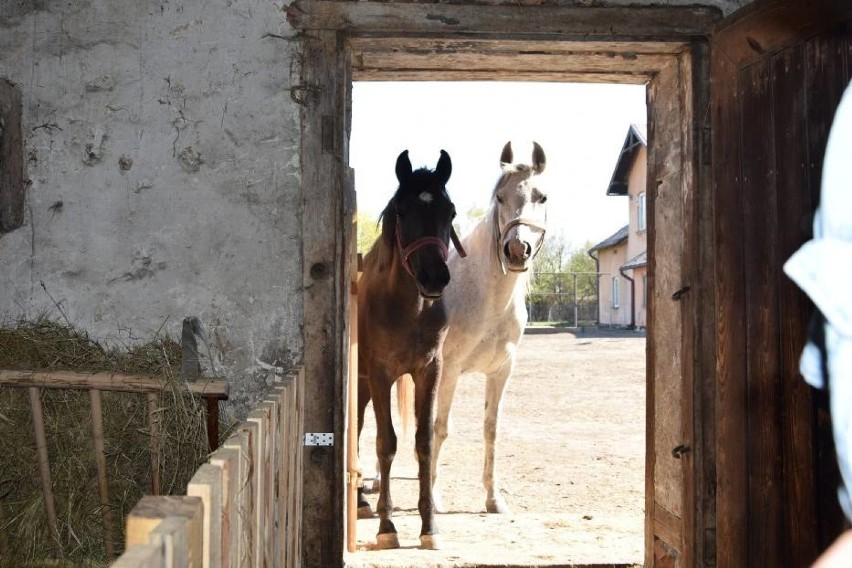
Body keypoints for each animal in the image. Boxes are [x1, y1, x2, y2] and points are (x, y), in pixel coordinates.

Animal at [358, 149, 470, 548]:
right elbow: (386, 442)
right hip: (362, 382)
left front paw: (429, 526)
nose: (434, 278)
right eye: (403, 212)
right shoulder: (380, 374)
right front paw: (387, 527)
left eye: (450, 211)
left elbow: (424, 441)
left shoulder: (429, 371)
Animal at [430, 140, 548, 512]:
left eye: (542, 197)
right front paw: (433, 498)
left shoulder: (500, 372)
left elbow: (491, 429)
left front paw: (493, 498)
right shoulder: (448, 370)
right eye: (500, 196)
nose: (517, 250)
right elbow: (440, 428)